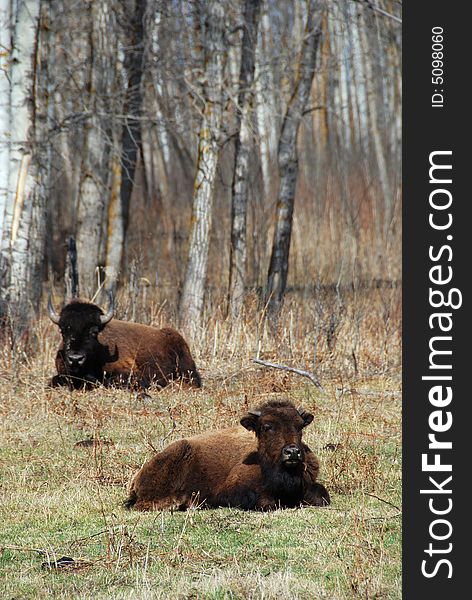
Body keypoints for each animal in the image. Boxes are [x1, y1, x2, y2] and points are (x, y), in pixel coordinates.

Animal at [127, 398, 330, 510]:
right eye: (267, 426)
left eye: (300, 426)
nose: (292, 452)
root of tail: (137, 478)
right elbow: (266, 503)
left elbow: (321, 497)